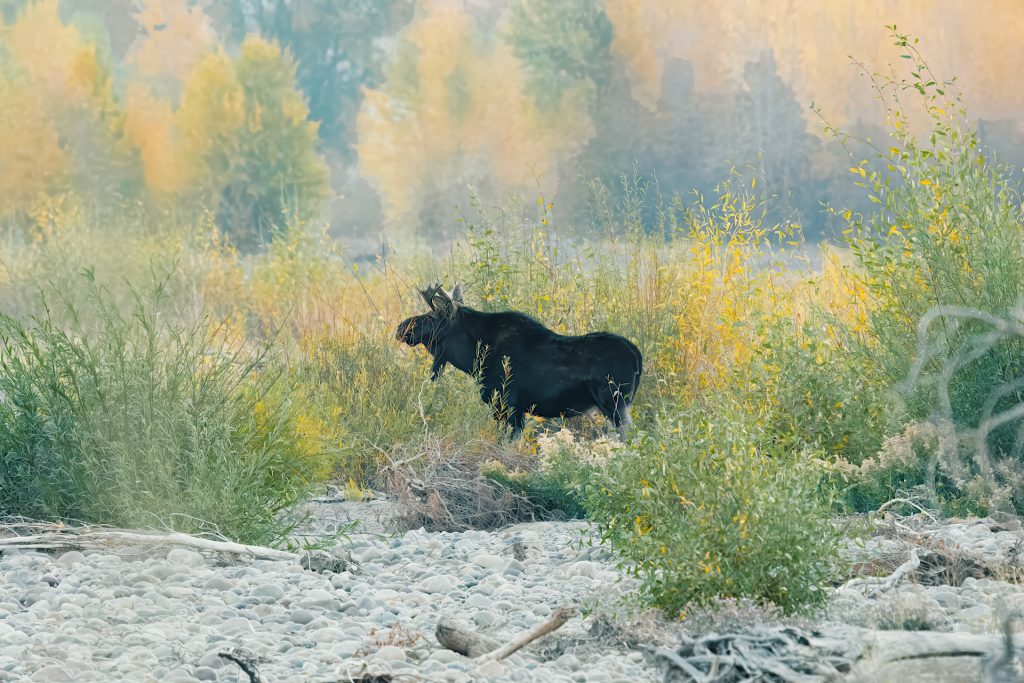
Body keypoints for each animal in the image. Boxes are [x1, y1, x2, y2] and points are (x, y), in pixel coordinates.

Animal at [393, 282, 638, 438]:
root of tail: (638, 356)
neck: (473, 358)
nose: (401, 327)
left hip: (614, 403)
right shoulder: (518, 410)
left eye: (431, 317)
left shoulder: (505, 403)